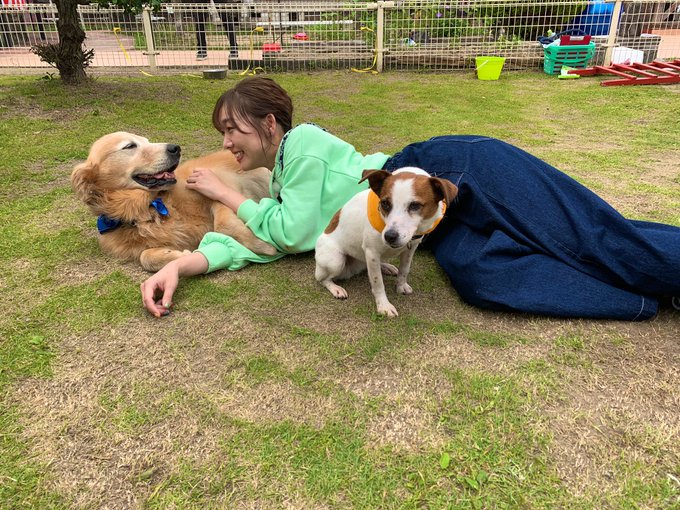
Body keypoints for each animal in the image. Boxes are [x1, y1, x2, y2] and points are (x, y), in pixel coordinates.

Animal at [71, 132, 277, 272]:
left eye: (147, 141)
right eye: (129, 146)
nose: (175, 148)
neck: (151, 205)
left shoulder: (227, 184)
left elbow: (223, 225)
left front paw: (264, 245)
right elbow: (145, 257)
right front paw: (177, 256)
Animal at [315, 167, 458, 317]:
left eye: (415, 205)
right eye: (385, 203)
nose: (390, 236)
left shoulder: (411, 248)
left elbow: (404, 269)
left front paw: (401, 286)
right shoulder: (371, 252)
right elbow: (378, 283)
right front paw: (383, 305)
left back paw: (386, 266)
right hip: (336, 261)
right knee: (322, 279)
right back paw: (335, 288)